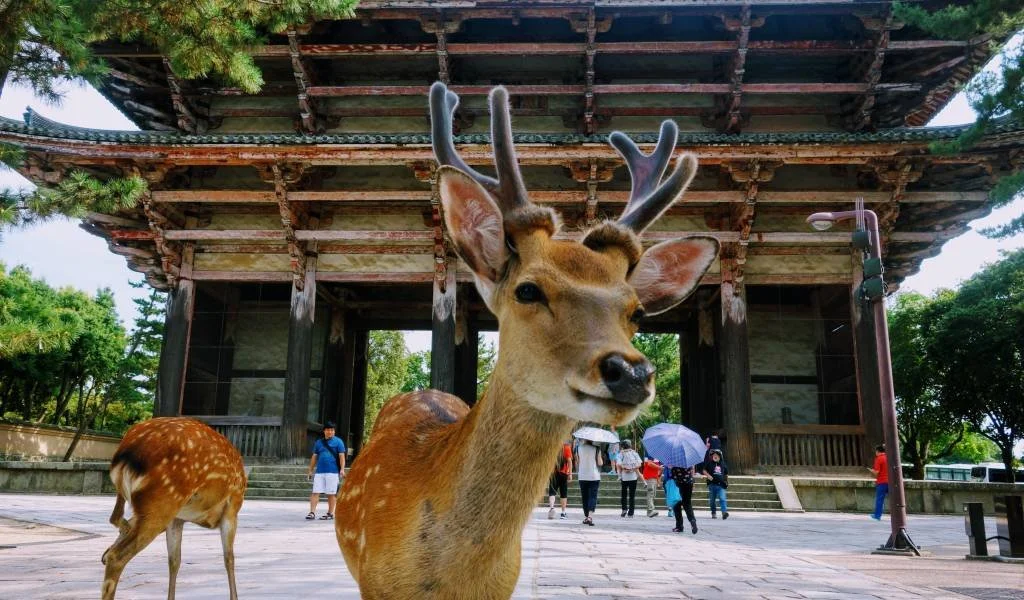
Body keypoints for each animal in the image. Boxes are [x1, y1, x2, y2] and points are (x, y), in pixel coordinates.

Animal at [101, 417, 247, 600]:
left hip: (147, 502)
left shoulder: (178, 518)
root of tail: (126, 453)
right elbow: (229, 559)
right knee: (117, 556)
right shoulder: (232, 507)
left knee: (115, 518)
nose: (102, 557)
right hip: (163, 501)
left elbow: (174, 561)